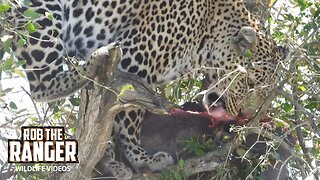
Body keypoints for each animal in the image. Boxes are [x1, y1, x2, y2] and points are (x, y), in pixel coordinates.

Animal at [6, 0, 288, 178]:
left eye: (265, 95)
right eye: (249, 83)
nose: (244, 115)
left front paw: (109, 159)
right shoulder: (134, 62)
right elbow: (129, 117)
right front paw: (141, 160)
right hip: (42, 12)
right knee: (43, 84)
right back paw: (92, 63)